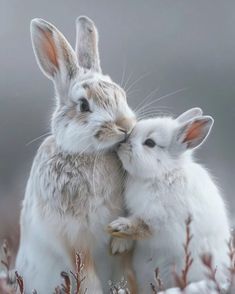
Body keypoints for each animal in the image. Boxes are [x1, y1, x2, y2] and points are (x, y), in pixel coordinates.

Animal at [15, 16, 136, 294]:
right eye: (83, 105)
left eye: (122, 95)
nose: (126, 125)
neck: (89, 155)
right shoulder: (73, 239)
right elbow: (87, 276)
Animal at [108, 108, 231, 294]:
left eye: (150, 143)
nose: (121, 143)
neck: (162, 173)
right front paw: (118, 244)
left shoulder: (161, 219)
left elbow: (142, 226)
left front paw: (120, 226)